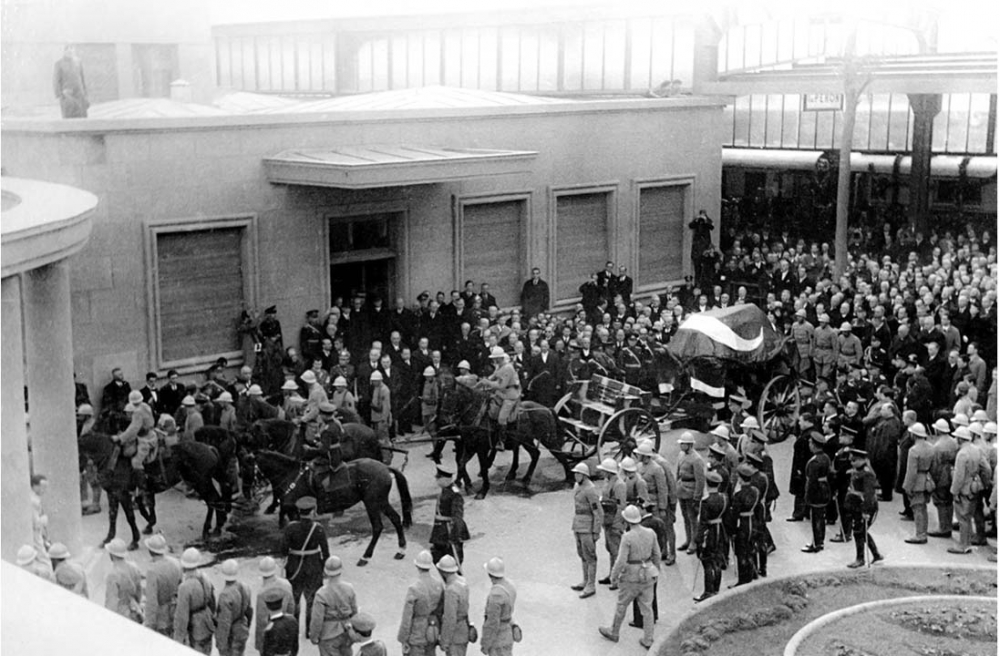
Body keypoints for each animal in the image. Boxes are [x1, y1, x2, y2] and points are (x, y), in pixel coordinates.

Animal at [256, 454, 416, 568]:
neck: (290, 475)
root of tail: (384, 467)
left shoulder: (293, 509)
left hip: (371, 502)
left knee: (377, 526)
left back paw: (365, 557)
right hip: (381, 501)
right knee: (396, 518)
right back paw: (401, 550)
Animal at [440, 376, 572, 500]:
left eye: (450, 396)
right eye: (441, 396)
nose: (444, 418)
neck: (478, 413)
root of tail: (547, 409)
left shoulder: (481, 448)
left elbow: (483, 467)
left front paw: (482, 491)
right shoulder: (470, 445)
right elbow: (461, 463)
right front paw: (467, 487)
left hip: (548, 440)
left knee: (560, 455)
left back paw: (570, 479)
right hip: (527, 441)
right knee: (536, 454)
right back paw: (525, 480)